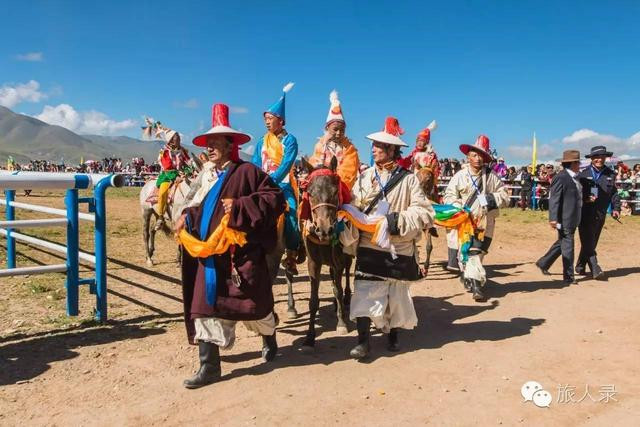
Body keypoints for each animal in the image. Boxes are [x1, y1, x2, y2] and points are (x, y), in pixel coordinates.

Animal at [298, 157, 352, 352]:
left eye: (335, 192)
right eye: (309, 193)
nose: (324, 229)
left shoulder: (338, 260)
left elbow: (337, 289)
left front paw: (342, 323)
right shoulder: (313, 262)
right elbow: (313, 300)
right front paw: (309, 337)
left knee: (346, 276)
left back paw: (346, 299)